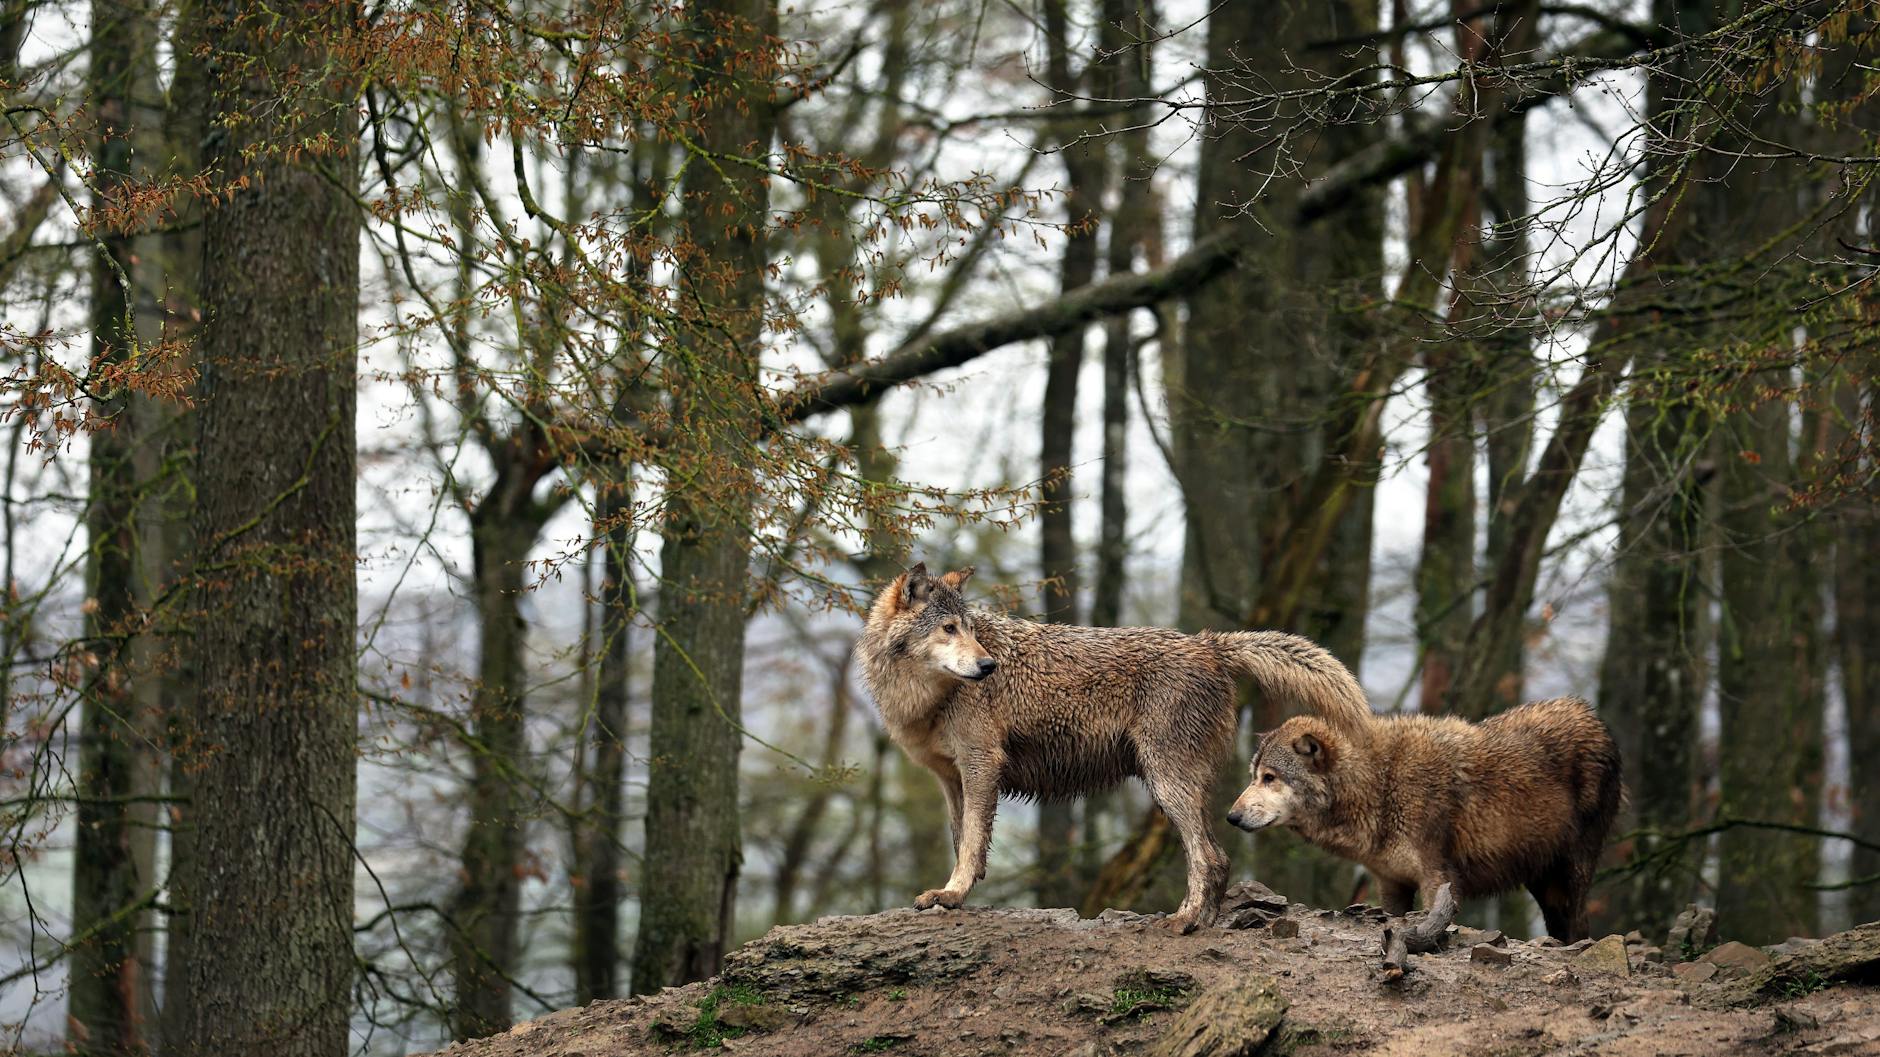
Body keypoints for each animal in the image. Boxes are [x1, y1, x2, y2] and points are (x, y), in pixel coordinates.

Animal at [858, 562, 1372, 932]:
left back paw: (1185, 922)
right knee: (1216, 856)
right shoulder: (950, 778)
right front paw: (954, 896)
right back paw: (1202, 921)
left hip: (1166, 784)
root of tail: (1211, 644)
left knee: (1210, 857)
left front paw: (952, 894)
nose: (988, 666)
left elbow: (969, 845)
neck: (925, 698)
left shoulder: (982, 766)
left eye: (968, 629)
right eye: (948, 628)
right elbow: (963, 840)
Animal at [1226, 697, 1622, 940]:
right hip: (1542, 880)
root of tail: (1594, 717)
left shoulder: (1438, 881)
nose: (1231, 816)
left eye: (1269, 778)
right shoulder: (1391, 883)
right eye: (1252, 776)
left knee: (1579, 925)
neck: (1378, 783)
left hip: (1572, 872)